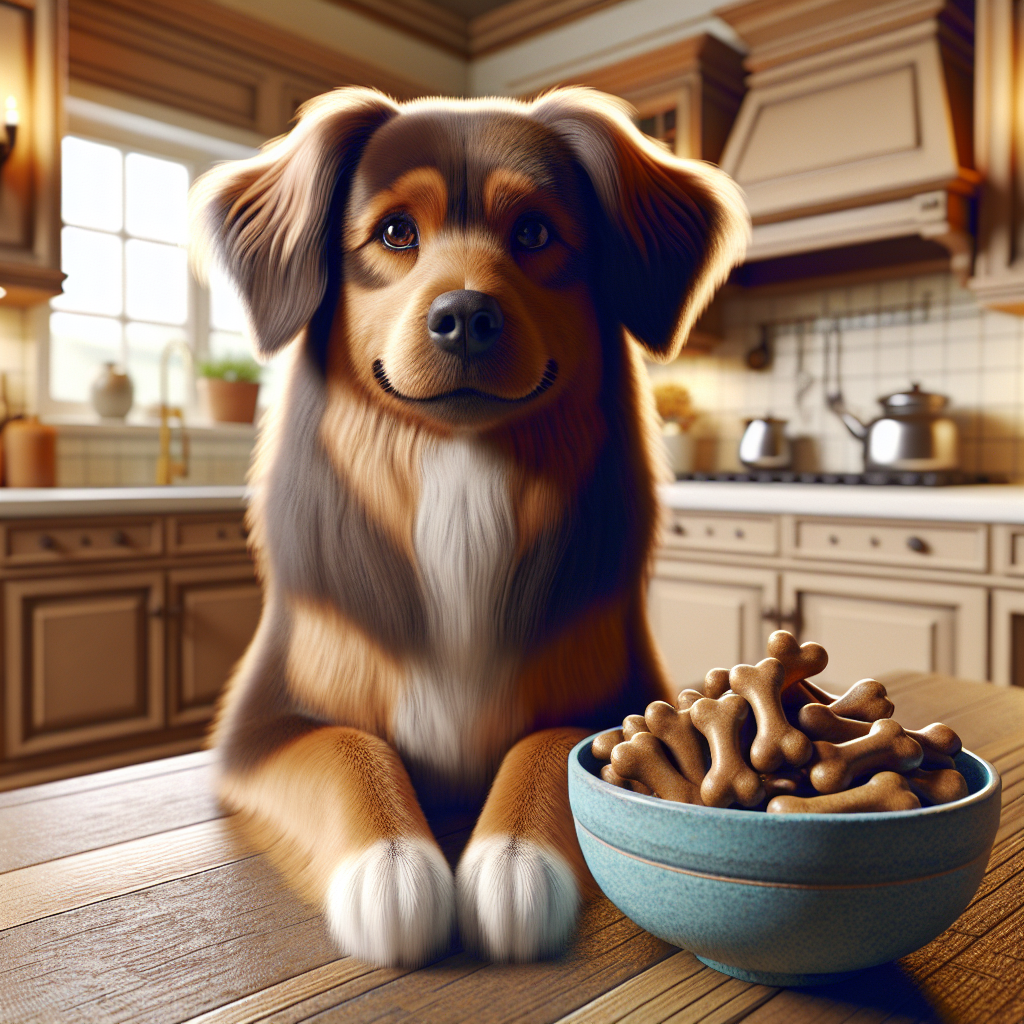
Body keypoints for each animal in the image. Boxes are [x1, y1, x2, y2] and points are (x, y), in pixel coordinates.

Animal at [188, 86, 749, 966]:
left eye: (535, 233)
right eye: (395, 231)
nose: (464, 317)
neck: (461, 472)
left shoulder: (620, 692)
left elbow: (546, 745)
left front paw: (515, 862)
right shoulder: (261, 725)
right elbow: (348, 749)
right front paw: (390, 866)